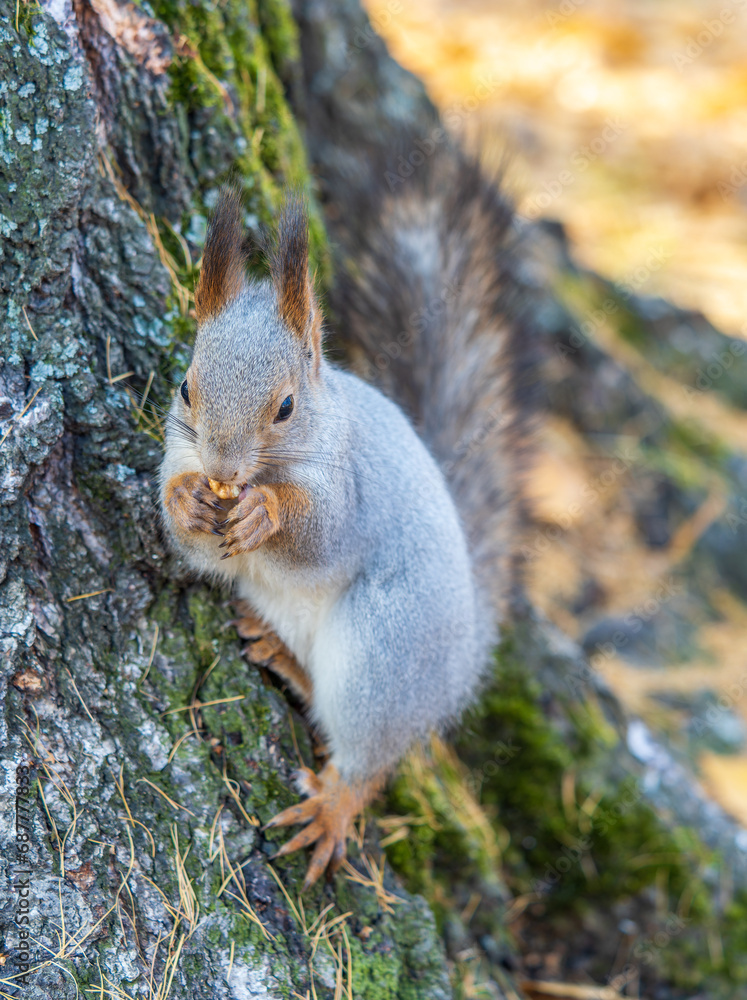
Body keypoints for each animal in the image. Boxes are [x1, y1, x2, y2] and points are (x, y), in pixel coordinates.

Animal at [159, 145, 532, 890]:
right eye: (185, 387)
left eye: (285, 407)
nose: (221, 469)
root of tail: (465, 658)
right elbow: (187, 536)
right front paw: (188, 501)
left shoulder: (349, 492)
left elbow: (319, 536)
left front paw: (264, 514)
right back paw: (279, 653)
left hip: (383, 656)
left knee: (369, 760)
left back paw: (331, 808)